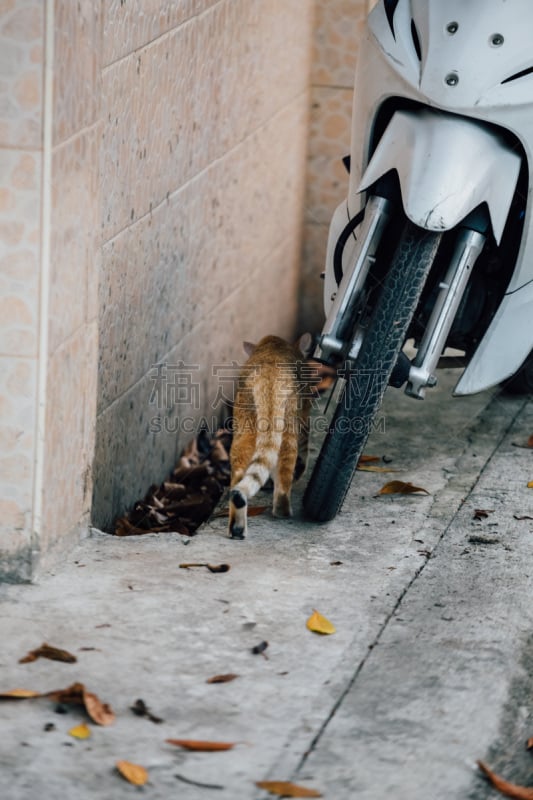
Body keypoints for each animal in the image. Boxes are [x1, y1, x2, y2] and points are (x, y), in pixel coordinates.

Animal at [227, 332, 314, 536]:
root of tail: (269, 374)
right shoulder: (304, 416)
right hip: (289, 428)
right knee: (284, 476)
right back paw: (283, 511)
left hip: (245, 431)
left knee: (239, 478)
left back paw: (237, 527)